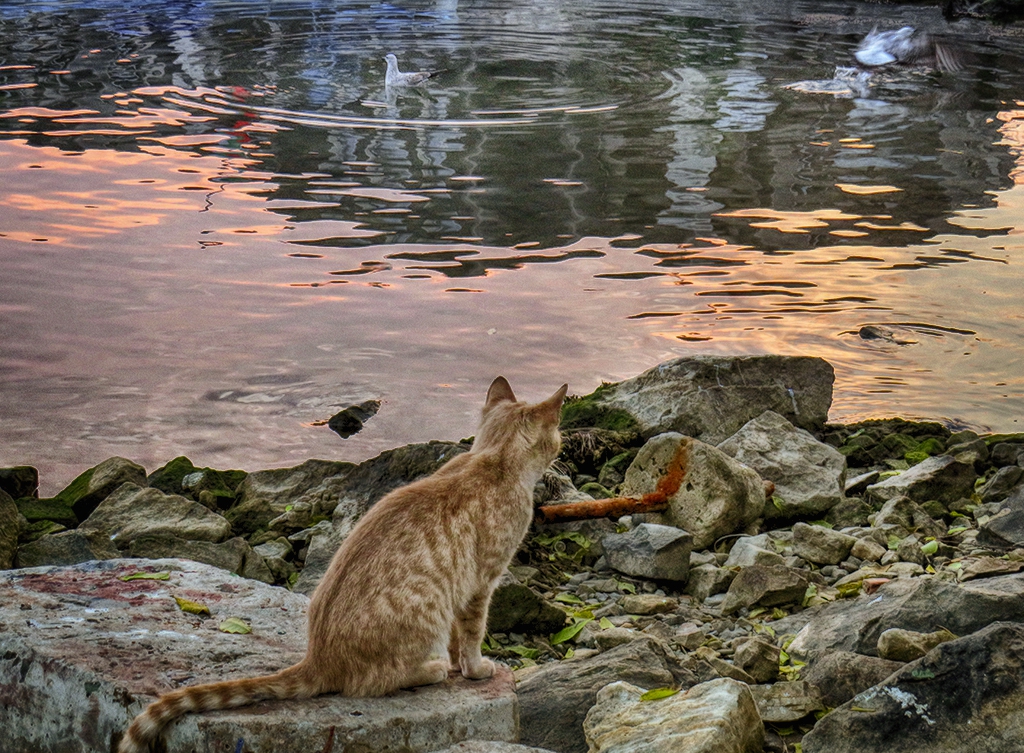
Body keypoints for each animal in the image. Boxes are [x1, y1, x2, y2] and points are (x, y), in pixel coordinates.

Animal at [120, 377, 573, 753]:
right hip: (425, 616)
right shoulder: (482, 583)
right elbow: (474, 633)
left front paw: (464, 663)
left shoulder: (467, 590)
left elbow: (461, 637)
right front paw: (475, 668)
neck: (494, 458)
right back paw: (432, 669)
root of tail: (318, 658)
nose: (562, 451)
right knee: (372, 683)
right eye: (557, 438)